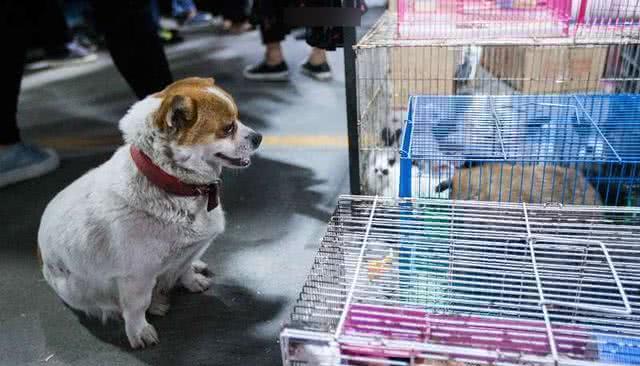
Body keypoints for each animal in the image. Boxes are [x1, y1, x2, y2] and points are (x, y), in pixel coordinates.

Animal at [37, 77, 262, 348]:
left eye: (238, 118)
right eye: (228, 128)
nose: (259, 137)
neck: (171, 184)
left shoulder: (185, 253)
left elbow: (184, 268)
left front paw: (191, 279)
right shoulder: (136, 277)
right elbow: (135, 308)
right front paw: (139, 330)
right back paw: (154, 304)